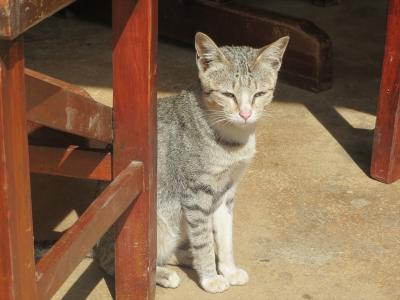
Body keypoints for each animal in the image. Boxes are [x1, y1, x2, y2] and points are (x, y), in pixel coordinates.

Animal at [95, 32, 290, 292]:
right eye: (228, 95)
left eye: (259, 94)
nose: (246, 114)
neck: (232, 140)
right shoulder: (196, 194)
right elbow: (204, 240)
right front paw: (210, 278)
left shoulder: (226, 192)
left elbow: (225, 237)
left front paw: (227, 269)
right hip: (155, 227)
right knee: (115, 262)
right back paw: (163, 274)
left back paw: (187, 258)